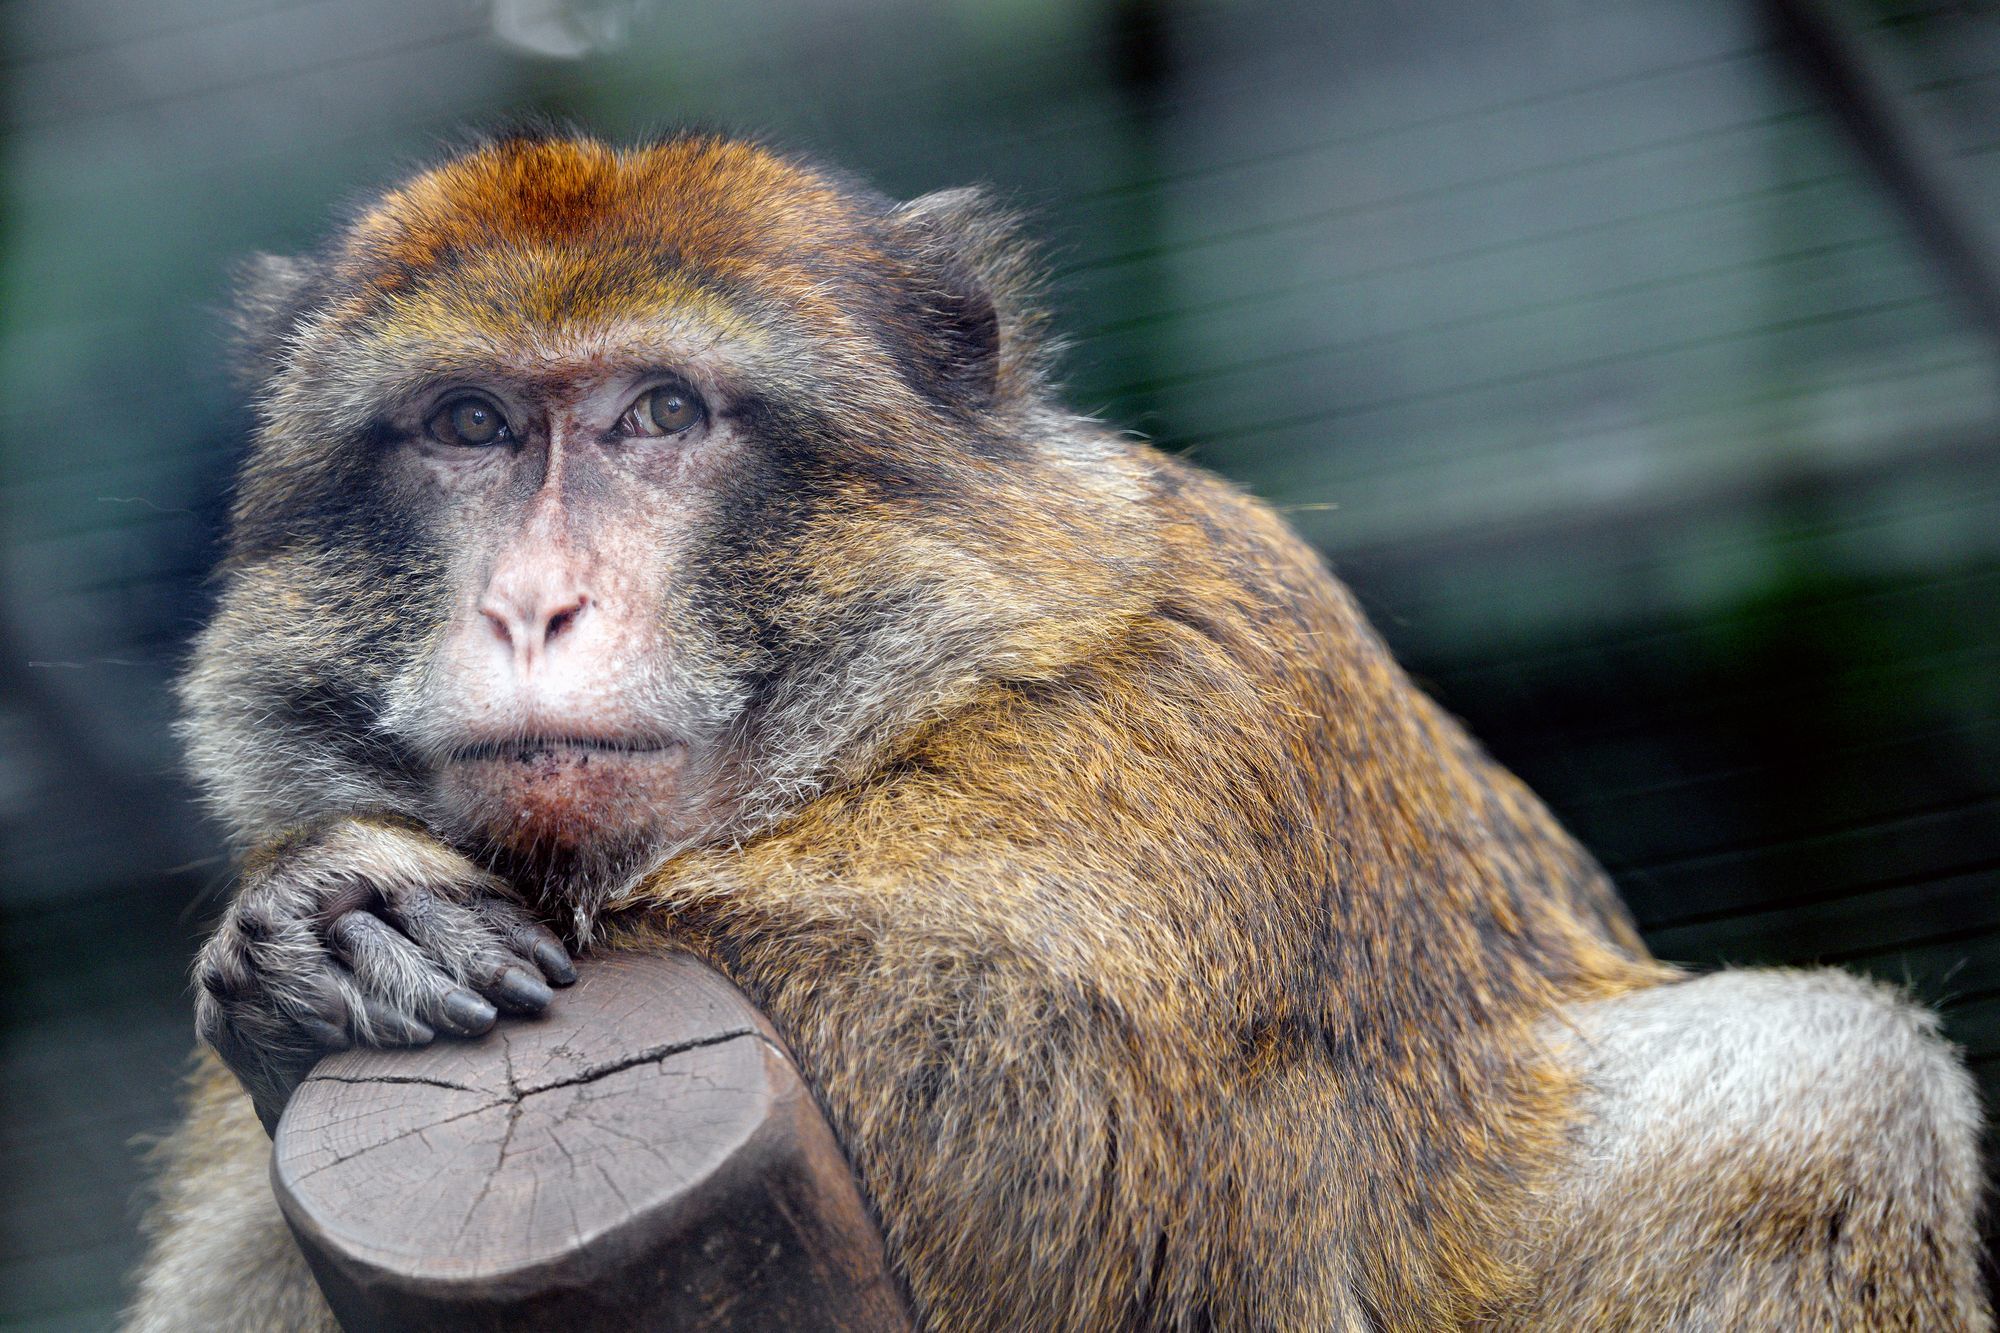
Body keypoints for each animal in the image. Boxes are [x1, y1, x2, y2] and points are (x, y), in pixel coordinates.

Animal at [125, 127, 1984, 1328]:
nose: (531, 605)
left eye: (659, 413)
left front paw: (323, 925)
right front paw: (309, 933)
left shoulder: (1175, 738)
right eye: (468, 426)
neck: (919, 698)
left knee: (1828, 1083)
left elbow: (1043, 1124)